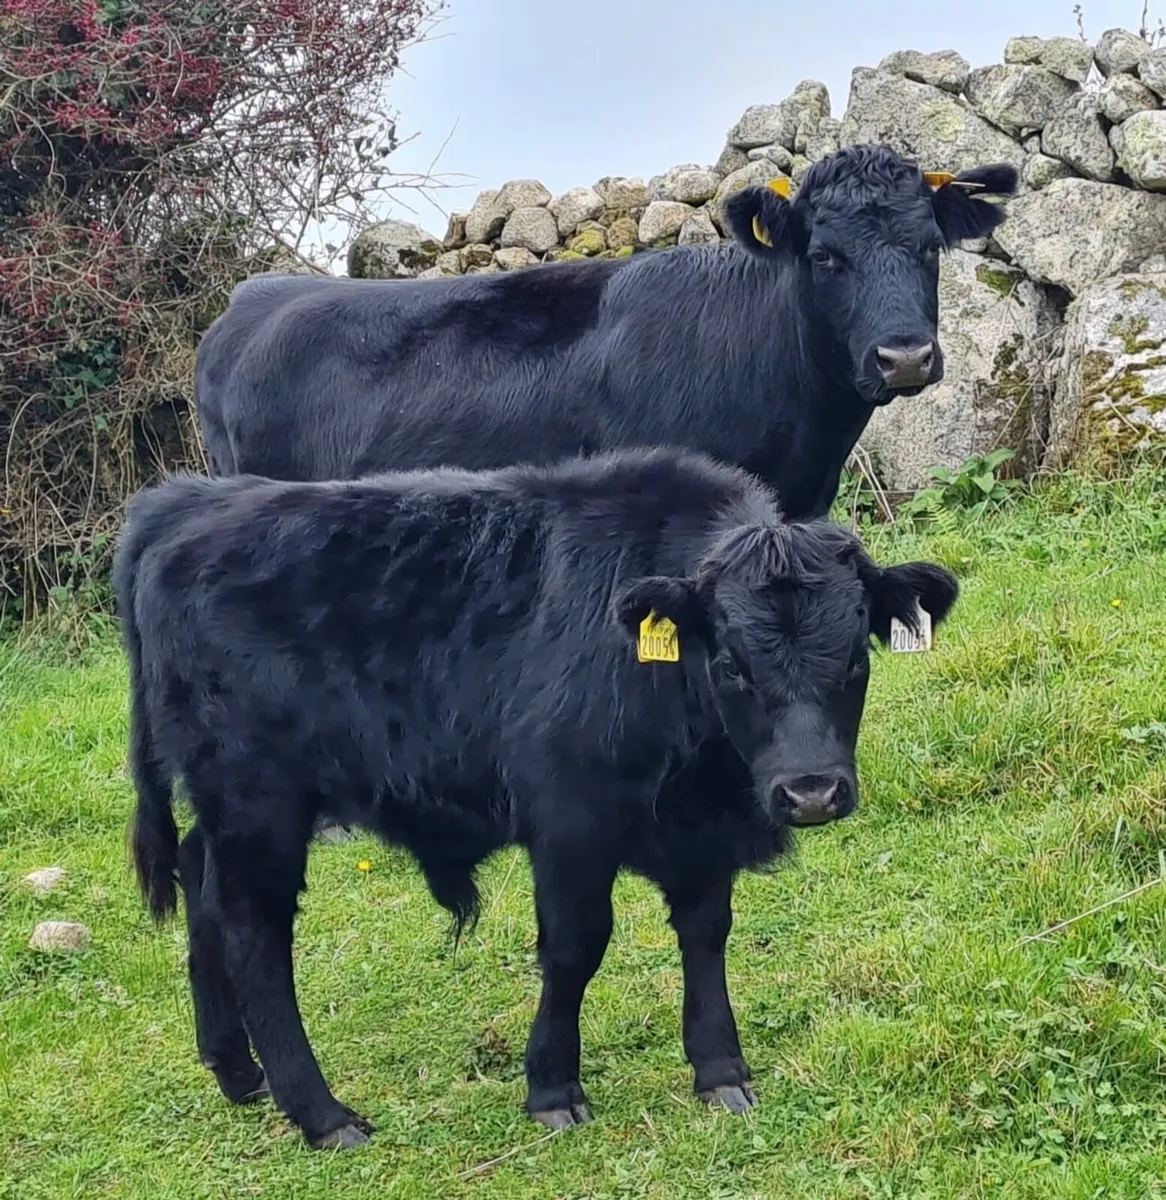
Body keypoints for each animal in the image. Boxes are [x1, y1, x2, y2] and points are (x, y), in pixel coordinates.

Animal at [116, 445, 959, 1151]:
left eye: (855, 661)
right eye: (733, 667)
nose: (811, 792)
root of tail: (184, 504)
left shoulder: (702, 833)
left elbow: (706, 932)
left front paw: (720, 1068)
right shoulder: (569, 824)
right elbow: (575, 947)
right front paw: (553, 1087)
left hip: (228, 809)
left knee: (203, 889)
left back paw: (236, 1069)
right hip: (258, 802)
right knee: (254, 935)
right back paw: (322, 1114)